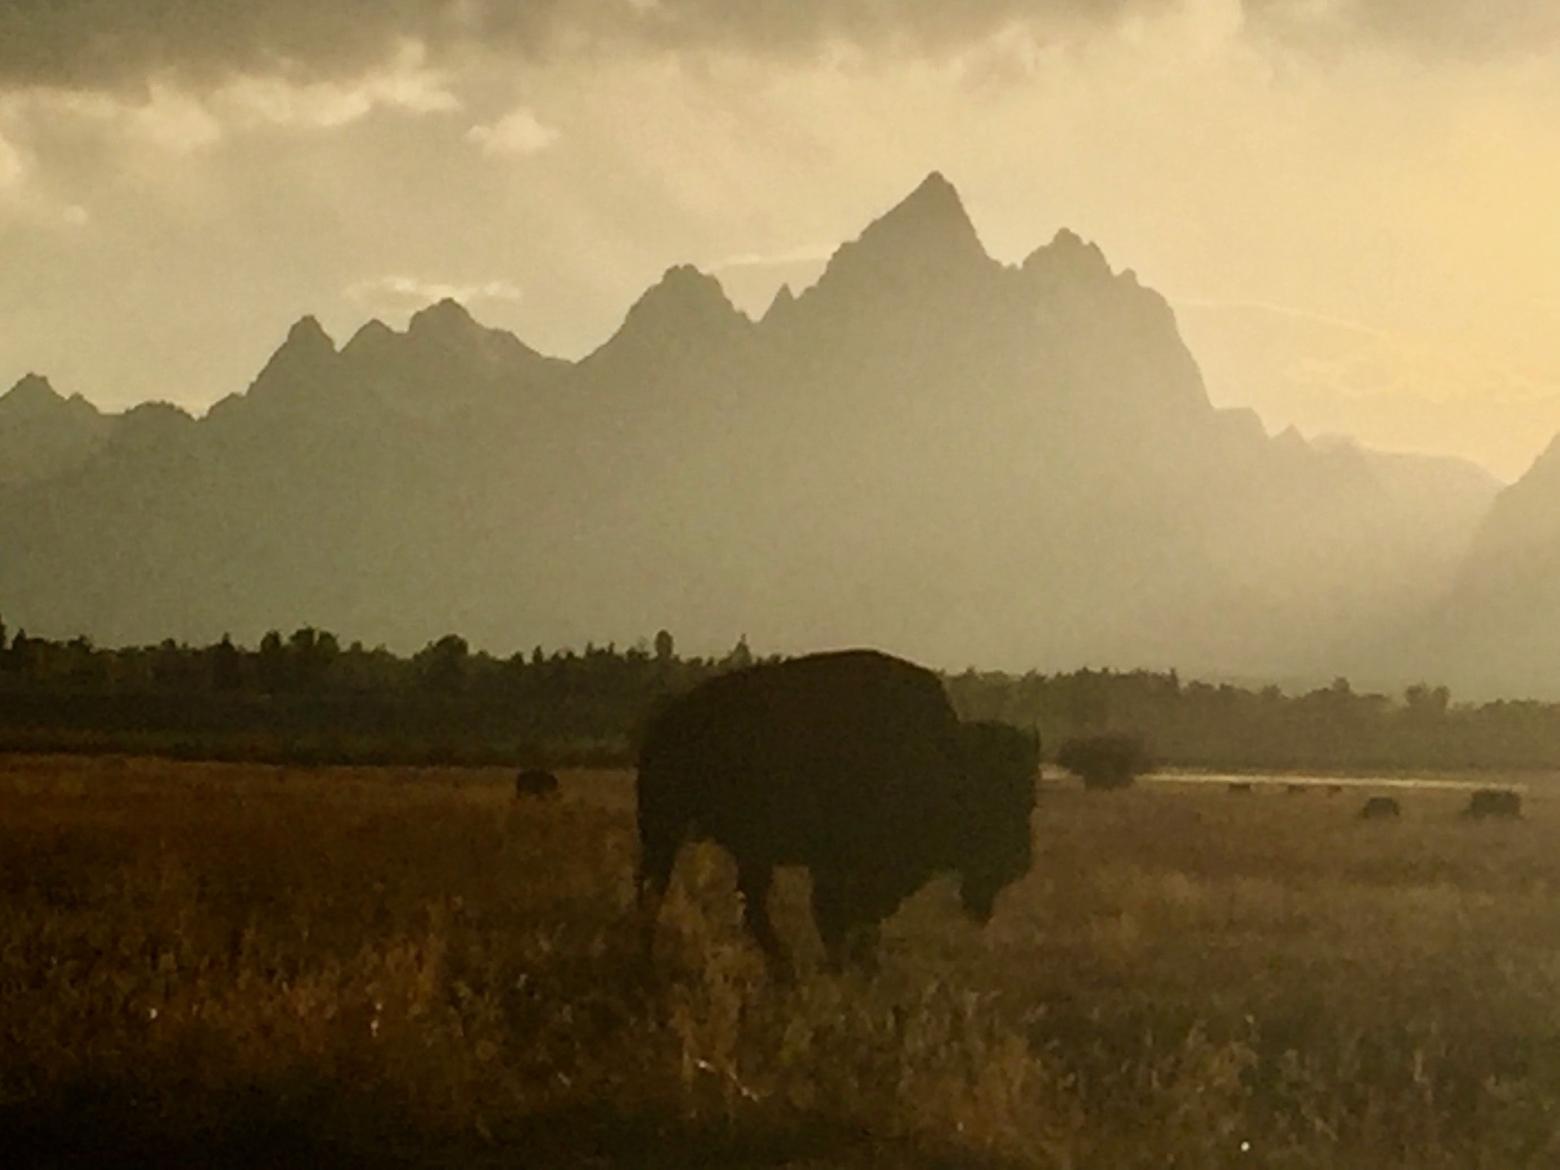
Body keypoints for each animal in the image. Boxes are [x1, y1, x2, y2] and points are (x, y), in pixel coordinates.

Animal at [633, 652, 1035, 973]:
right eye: (993, 800)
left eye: (1029, 801)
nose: (1019, 862)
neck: (940, 758)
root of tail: (663, 722)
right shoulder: (836, 869)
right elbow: (835, 920)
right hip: (664, 829)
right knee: (655, 891)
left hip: (745, 850)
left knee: (748, 904)